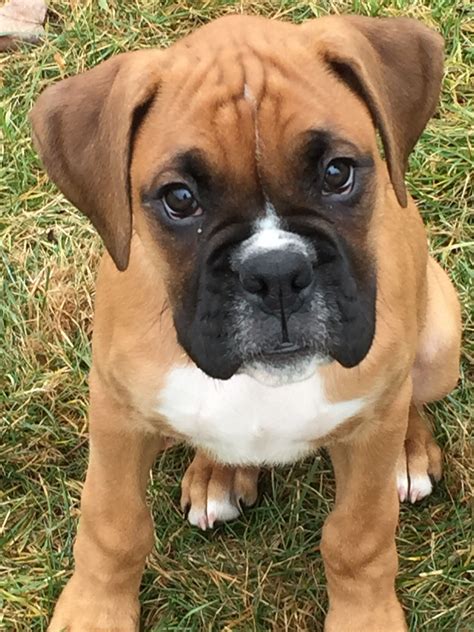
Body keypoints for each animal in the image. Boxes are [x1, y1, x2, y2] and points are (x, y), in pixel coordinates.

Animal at [29, 13, 460, 632]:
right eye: (180, 198)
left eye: (337, 173)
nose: (276, 273)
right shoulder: (115, 413)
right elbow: (113, 525)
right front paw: (95, 611)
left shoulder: (370, 429)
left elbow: (358, 538)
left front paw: (365, 616)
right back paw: (218, 472)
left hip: (439, 339)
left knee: (410, 399)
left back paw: (409, 449)